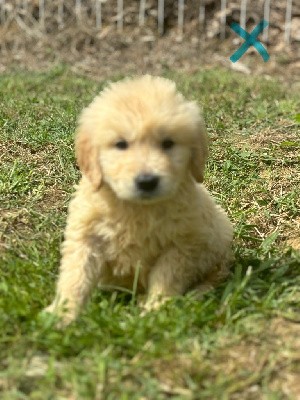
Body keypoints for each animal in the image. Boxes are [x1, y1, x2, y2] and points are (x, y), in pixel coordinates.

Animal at [45, 76, 233, 324]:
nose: (147, 181)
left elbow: (166, 277)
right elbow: (75, 277)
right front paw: (62, 314)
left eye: (168, 143)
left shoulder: (183, 244)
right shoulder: (86, 237)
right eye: (121, 144)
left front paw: (156, 310)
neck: (136, 208)